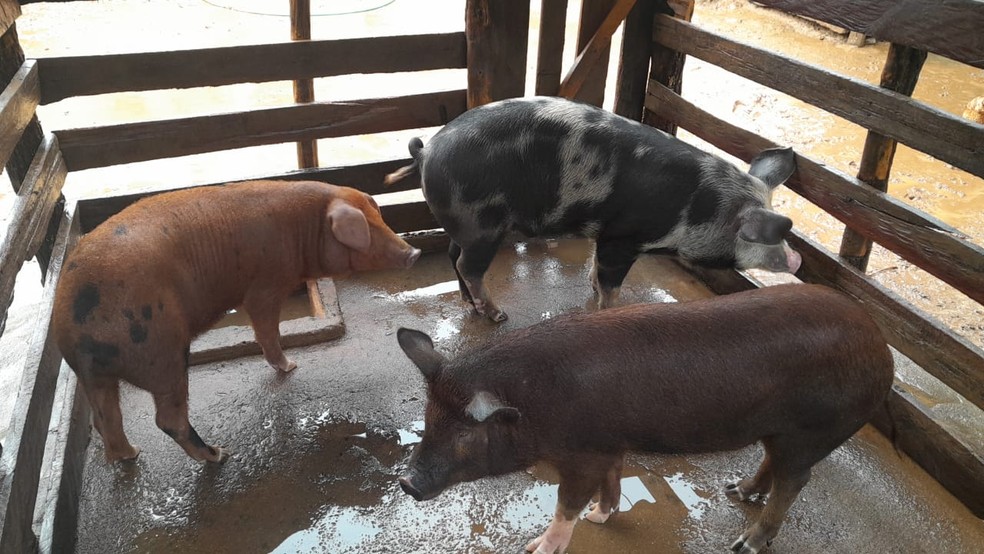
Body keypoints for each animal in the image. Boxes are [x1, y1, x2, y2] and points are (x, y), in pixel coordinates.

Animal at [52, 180, 418, 462]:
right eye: (367, 228)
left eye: (379, 218)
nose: (413, 253)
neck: (302, 228)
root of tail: (74, 322)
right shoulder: (265, 284)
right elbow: (267, 328)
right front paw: (291, 366)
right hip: (160, 350)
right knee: (168, 419)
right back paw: (219, 455)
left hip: (94, 374)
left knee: (106, 420)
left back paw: (133, 455)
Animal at [384, 95, 800, 320]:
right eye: (760, 236)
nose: (796, 261)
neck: (697, 208)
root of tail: (428, 150)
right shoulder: (623, 238)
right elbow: (611, 282)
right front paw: (609, 310)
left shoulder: (605, 233)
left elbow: (595, 266)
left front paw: (592, 287)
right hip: (482, 224)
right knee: (469, 266)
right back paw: (498, 316)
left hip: (464, 225)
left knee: (452, 257)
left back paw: (470, 307)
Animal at [396, 284, 896, 552]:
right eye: (429, 419)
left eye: (465, 434)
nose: (406, 482)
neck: (534, 401)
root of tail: (881, 344)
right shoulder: (609, 444)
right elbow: (612, 481)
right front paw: (602, 516)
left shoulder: (584, 453)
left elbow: (565, 504)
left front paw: (537, 546)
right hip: (779, 430)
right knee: (772, 463)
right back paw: (736, 491)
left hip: (813, 431)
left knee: (796, 481)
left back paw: (745, 544)